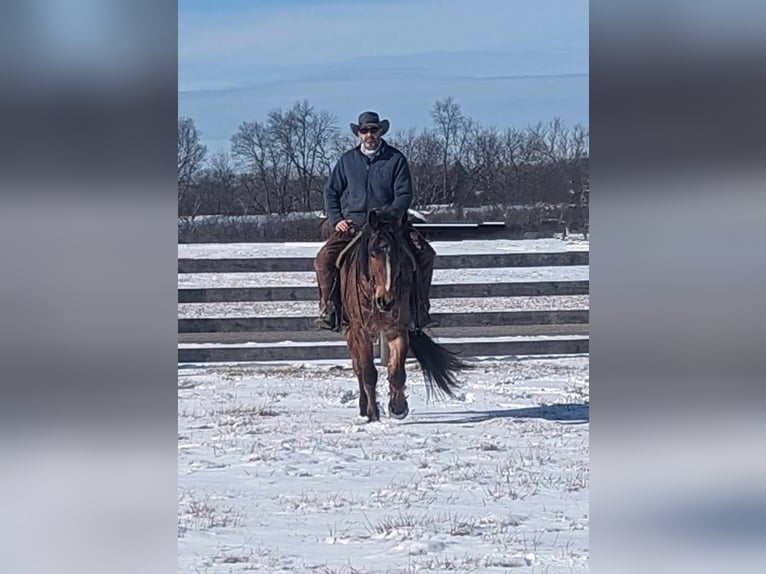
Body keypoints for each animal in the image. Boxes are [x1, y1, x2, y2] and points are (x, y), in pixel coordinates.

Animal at [340, 212, 472, 424]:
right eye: (373, 253)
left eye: (398, 255)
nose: (386, 301)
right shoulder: (361, 331)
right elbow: (368, 373)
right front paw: (373, 413)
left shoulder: (398, 329)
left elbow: (397, 373)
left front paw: (398, 408)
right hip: (351, 332)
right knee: (358, 368)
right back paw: (363, 407)